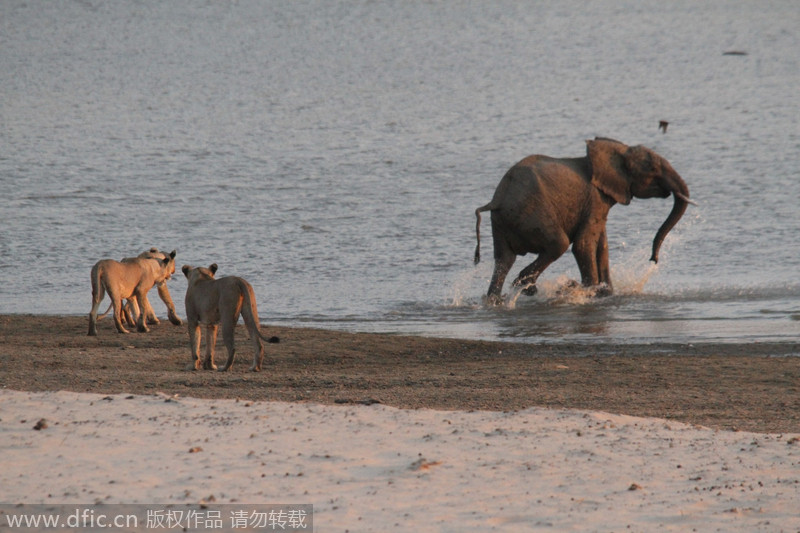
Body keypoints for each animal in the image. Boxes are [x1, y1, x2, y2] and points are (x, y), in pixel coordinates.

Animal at [472, 136, 692, 304]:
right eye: (652, 169)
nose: (653, 259)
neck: (616, 150)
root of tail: (497, 199)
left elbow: (602, 246)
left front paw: (606, 293)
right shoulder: (595, 199)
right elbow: (583, 245)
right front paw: (589, 292)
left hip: (501, 222)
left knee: (504, 259)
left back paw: (496, 300)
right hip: (530, 214)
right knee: (557, 244)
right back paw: (526, 287)